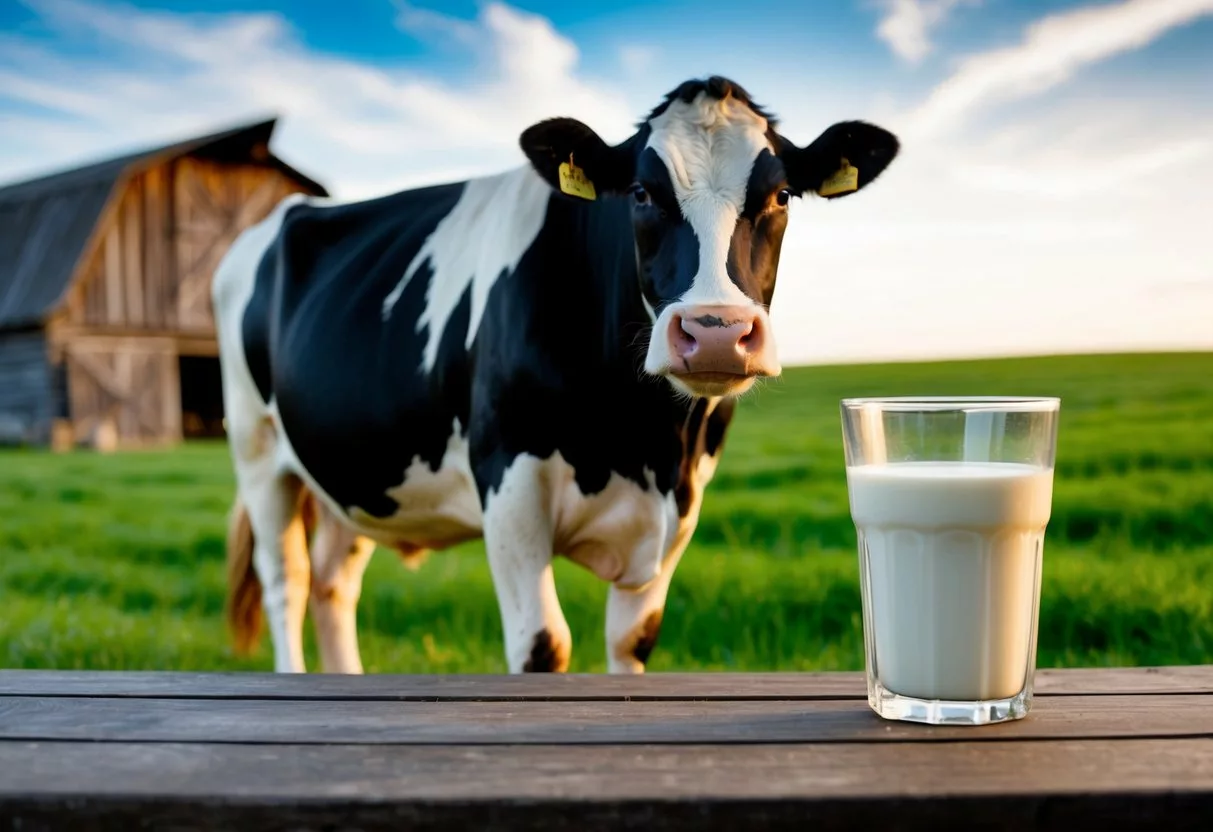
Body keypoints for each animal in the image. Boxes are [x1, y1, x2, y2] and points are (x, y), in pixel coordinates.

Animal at [211, 76, 902, 679]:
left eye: (781, 196)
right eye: (641, 193)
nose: (714, 330)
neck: (644, 443)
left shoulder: (682, 503)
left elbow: (631, 638)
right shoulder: (508, 481)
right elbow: (544, 645)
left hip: (354, 468)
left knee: (333, 582)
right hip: (258, 450)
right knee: (287, 582)